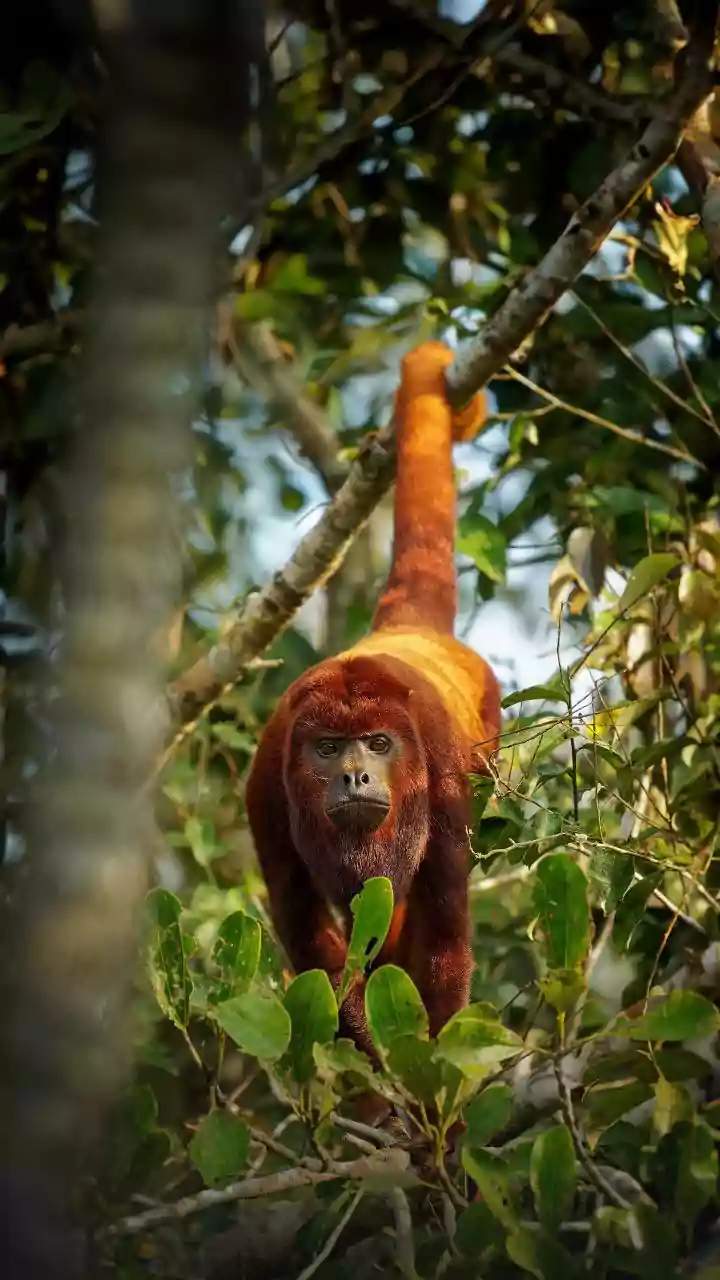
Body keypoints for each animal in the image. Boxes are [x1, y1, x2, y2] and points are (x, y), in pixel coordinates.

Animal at [245, 342, 501, 1057]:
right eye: (328, 748)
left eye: (379, 744)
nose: (356, 774)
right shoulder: (266, 785)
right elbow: (309, 935)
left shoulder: (441, 776)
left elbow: (444, 937)